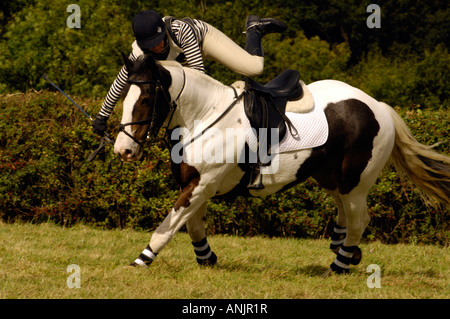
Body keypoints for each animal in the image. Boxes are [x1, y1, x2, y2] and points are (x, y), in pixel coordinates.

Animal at [113, 53, 450, 276]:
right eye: (124, 97)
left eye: (145, 100)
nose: (123, 151)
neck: (204, 116)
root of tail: (379, 107)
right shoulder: (195, 186)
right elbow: (193, 226)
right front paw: (208, 260)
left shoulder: (201, 185)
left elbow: (168, 227)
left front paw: (141, 260)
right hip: (331, 180)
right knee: (345, 215)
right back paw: (345, 251)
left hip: (354, 184)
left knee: (358, 220)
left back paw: (339, 265)